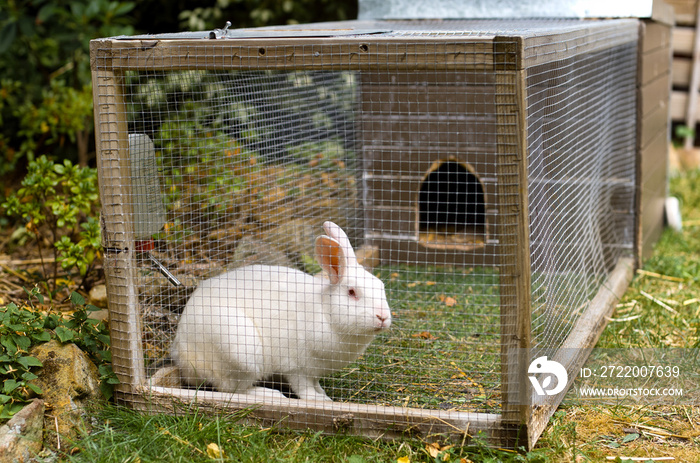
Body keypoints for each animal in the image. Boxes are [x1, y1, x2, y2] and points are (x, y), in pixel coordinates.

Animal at [167, 222, 392, 402]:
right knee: (233, 389)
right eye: (352, 292)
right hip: (240, 352)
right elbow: (303, 387)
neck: (326, 312)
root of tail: (181, 353)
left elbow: (316, 383)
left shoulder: (314, 370)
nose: (383, 317)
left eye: (381, 286)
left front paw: (323, 394)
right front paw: (319, 400)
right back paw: (270, 394)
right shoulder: (296, 367)